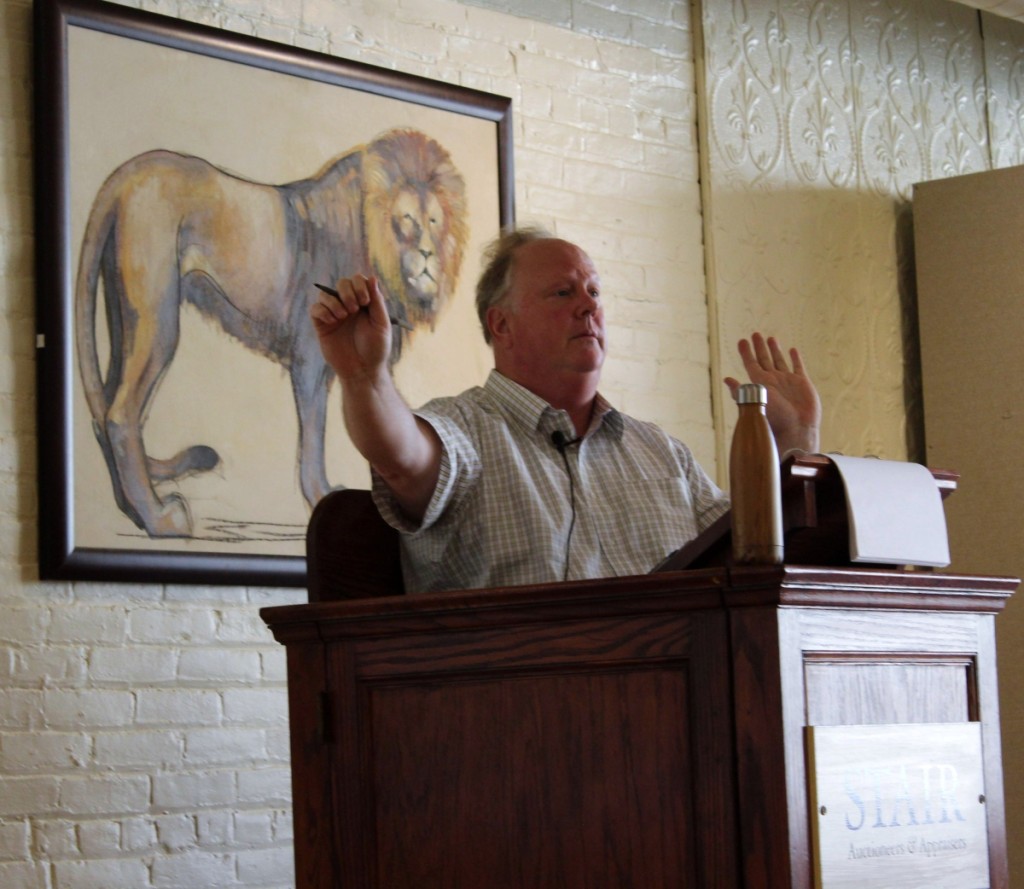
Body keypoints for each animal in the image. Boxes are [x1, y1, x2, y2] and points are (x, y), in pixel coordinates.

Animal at [74, 128, 468, 536]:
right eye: (406, 219)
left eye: (434, 221)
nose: (428, 255)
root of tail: (125, 175)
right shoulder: (310, 360)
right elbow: (313, 436)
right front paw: (320, 496)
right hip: (157, 316)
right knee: (120, 414)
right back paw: (161, 520)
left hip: (121, 310)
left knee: (106, 408)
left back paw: (132, 512)